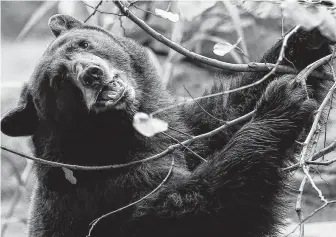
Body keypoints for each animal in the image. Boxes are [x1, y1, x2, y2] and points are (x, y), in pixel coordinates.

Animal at [0, 14, 330, 237]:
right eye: (58, 81)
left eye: (84, 43)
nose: (92, 73)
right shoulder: (107, 186)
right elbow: (189, 205)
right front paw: (281, 101)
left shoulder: (178, 129)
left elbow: (224, 112)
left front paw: (307, 37)